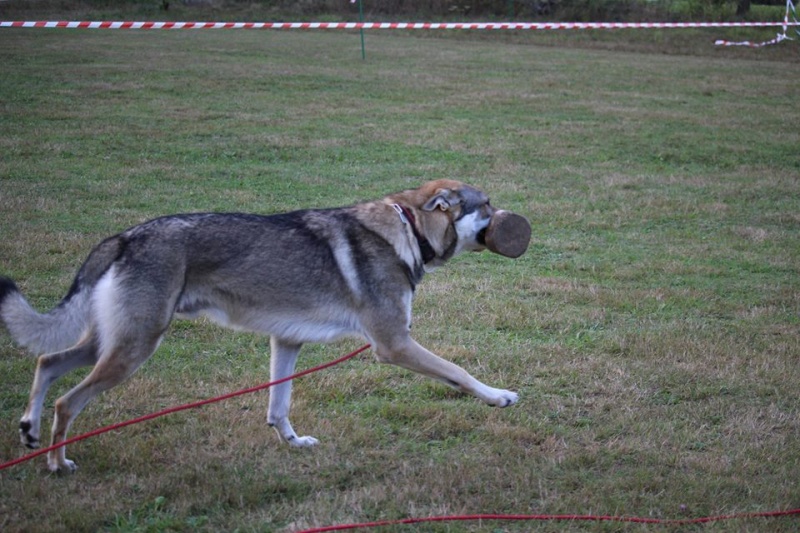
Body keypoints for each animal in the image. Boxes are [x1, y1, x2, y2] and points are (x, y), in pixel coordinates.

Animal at [1, 179, 520, 470]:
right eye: (487, 205)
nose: (516, 220)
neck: (409, 231)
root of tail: (125, 237)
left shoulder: (286, 341)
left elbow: (277, 406)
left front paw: (293, 443)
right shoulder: (393, 345)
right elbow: (459, 372)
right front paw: (499, 397)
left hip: (112, 344)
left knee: (47, 361)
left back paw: (29, 430)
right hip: (133, 349)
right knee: (67, 401)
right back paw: (57, 463)